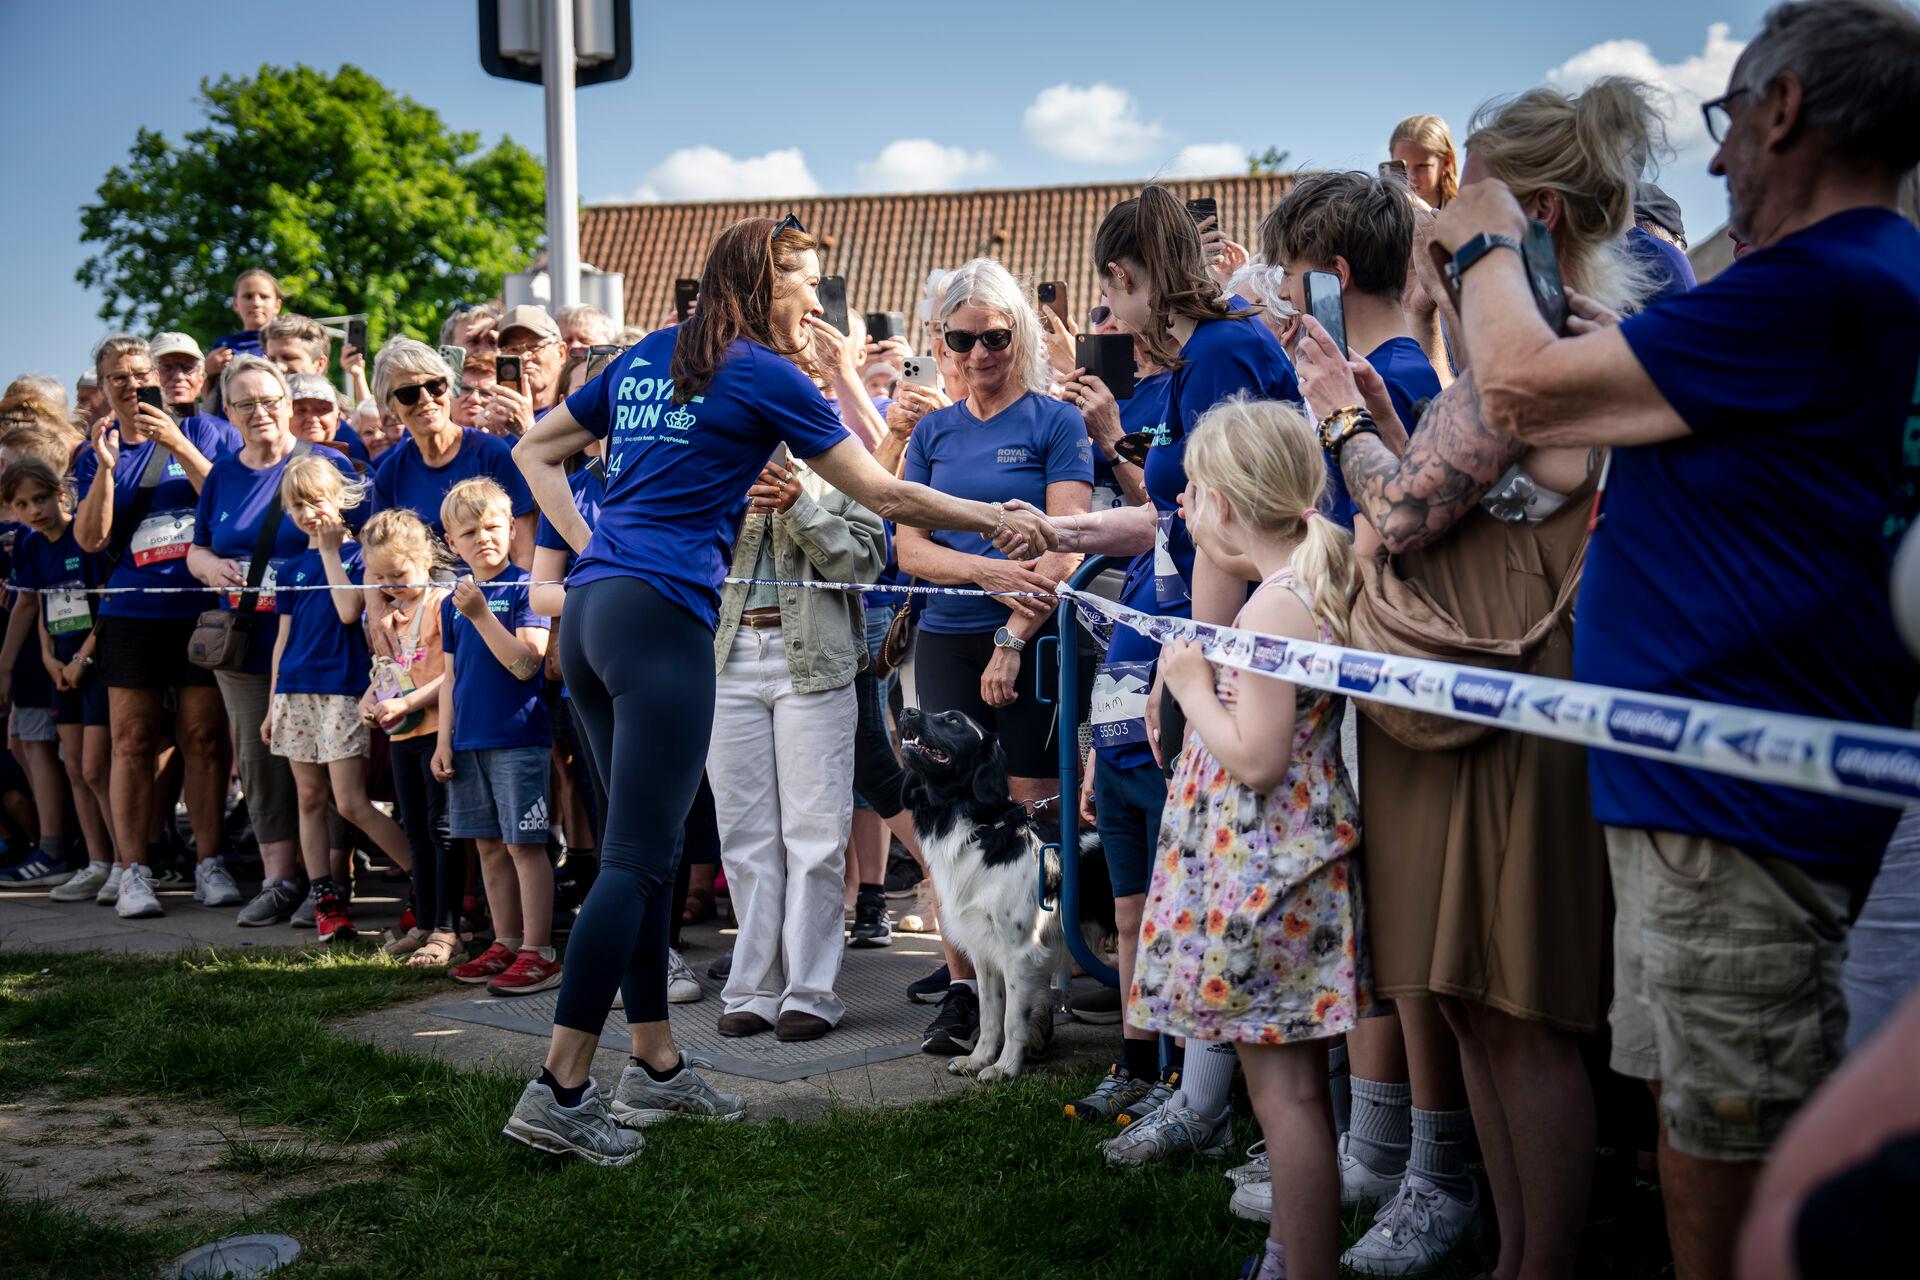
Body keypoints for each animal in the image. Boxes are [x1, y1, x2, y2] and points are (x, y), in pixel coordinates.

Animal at [902, 710, 1121, 1082]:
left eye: (953, 720)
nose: (906, 712)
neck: (978, 831)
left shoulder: (1020, 953)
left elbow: (1013, 1020)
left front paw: (1004, 1068)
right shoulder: (984, 951)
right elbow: (990, 1015)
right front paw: (977, 1059)